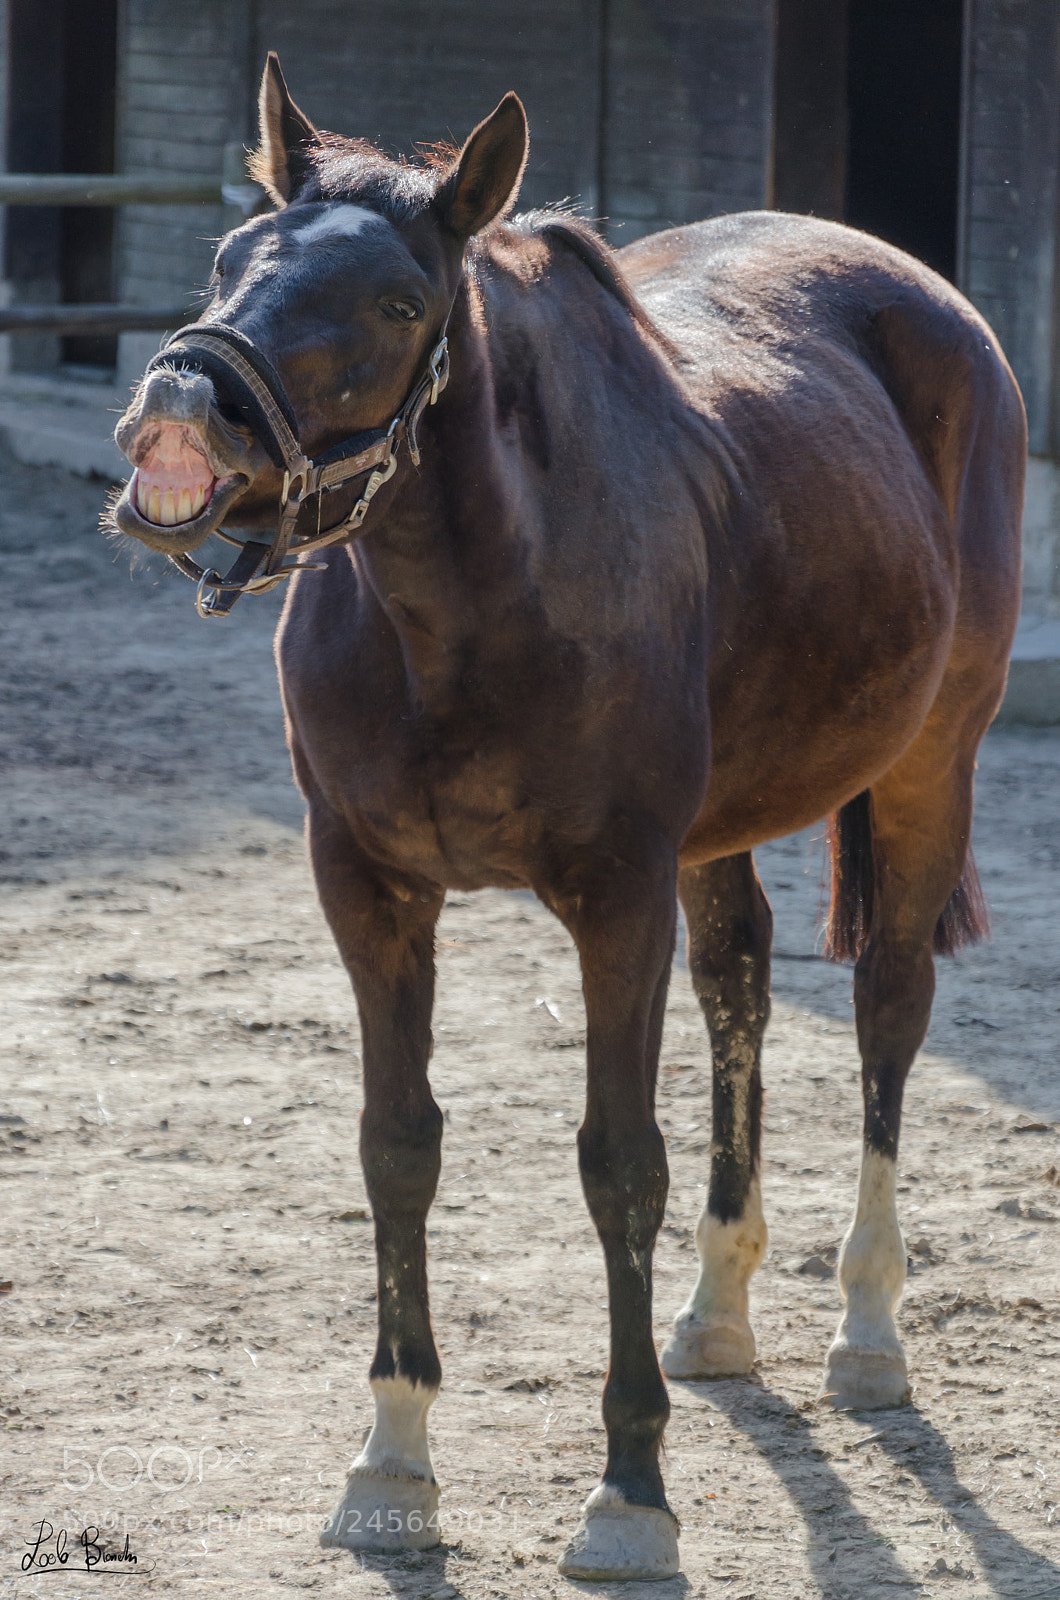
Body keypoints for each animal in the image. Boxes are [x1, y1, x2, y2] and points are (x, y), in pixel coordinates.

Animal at [109, 53, 1025, 1583]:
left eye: (398, 303)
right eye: (235, 258)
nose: (180, 406)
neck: (466, 602)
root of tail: (921, 296)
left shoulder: (614, 895)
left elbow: (616, 1164)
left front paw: (631, 1495)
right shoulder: (368, 888)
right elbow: (397, 1144)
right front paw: (393, 1464)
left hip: (927, 763)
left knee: (889, 1007)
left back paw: (867, 1328)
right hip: (720, 838)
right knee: (740, 985)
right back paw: (718, 1317)